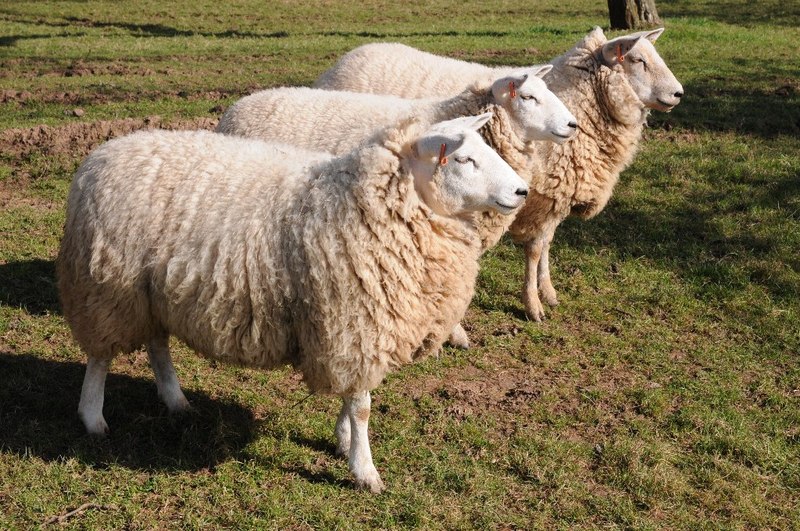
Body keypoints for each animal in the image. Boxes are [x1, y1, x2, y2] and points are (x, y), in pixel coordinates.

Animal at [57, 113, 532, 494]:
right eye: (463, 160)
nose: (522, 191)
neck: (368, 204)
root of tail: (99, 157)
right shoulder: (355, 321)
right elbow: (362, 407)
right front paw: (365, 471)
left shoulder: (357, 330)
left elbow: (352, 401)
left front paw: (343, 441)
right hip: (107, 289)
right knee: (100, 357)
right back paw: (93, 418)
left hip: (150, 292)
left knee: (157, 344)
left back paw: (175, 401)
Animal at [316, 28, 684, 320]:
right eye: (636, 60)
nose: (679, 93)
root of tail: (343, 61)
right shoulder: (541, 195)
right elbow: (535, 249)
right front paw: (533, 304)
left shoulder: (552, 198)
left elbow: (545, 245)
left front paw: (547, 292)